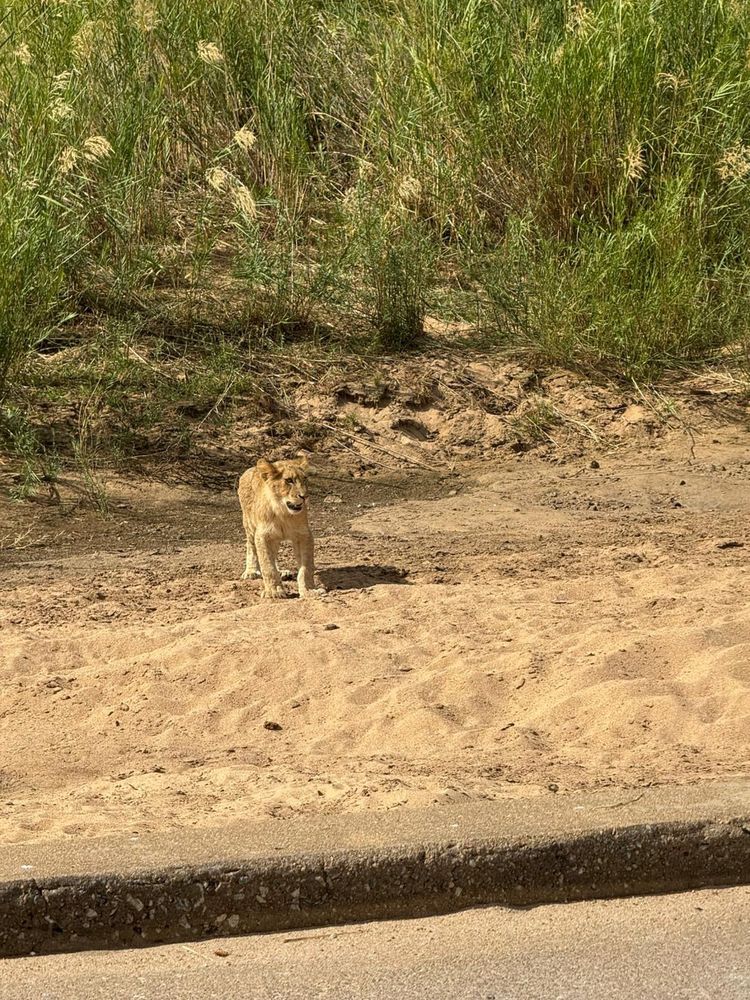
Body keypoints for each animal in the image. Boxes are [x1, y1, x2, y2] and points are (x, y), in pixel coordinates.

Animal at [237, 455, 320, 599]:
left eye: (305, 479)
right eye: (289, 480)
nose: (304, 496)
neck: (283, 513)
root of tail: (251, 468)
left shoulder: (304, 535)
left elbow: (306, 567)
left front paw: (308, 590)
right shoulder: (262, 535)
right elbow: (267, 566)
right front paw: (274, 591)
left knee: (274, 553)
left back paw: (282, 572)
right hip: (249, 524)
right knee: (251, 546)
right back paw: (251, 571)